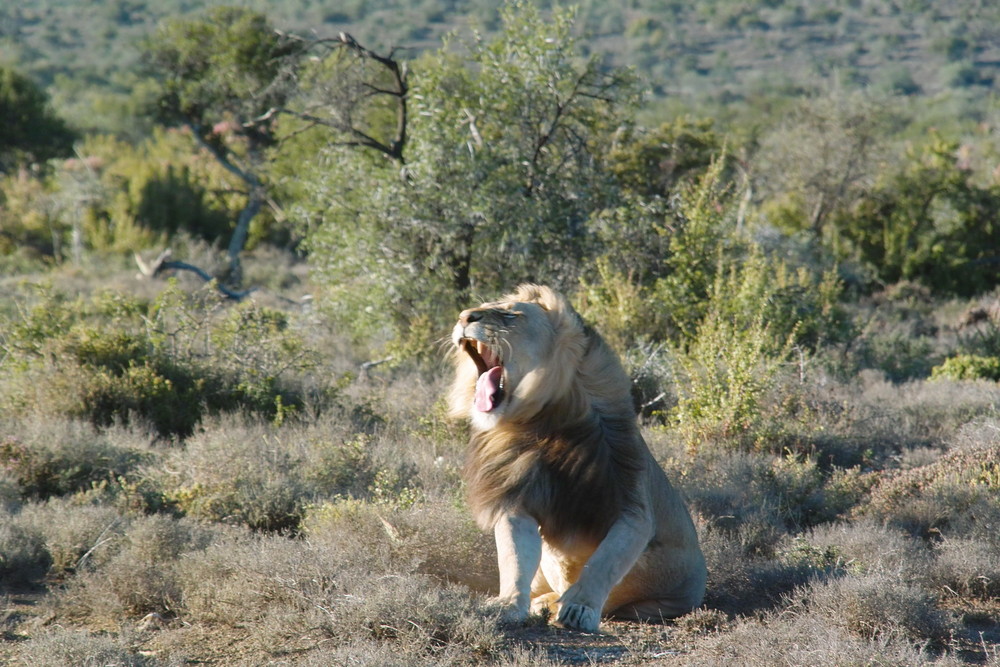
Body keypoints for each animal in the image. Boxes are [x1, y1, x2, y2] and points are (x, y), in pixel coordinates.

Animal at [450, 284, 708, 636]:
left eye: (509, 314)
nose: (464, 317)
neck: (542, 422)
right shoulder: (517, 497)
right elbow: (514, 557)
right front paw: (507, 605)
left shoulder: (630, 505)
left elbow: (604, 563)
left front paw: (579, 609)